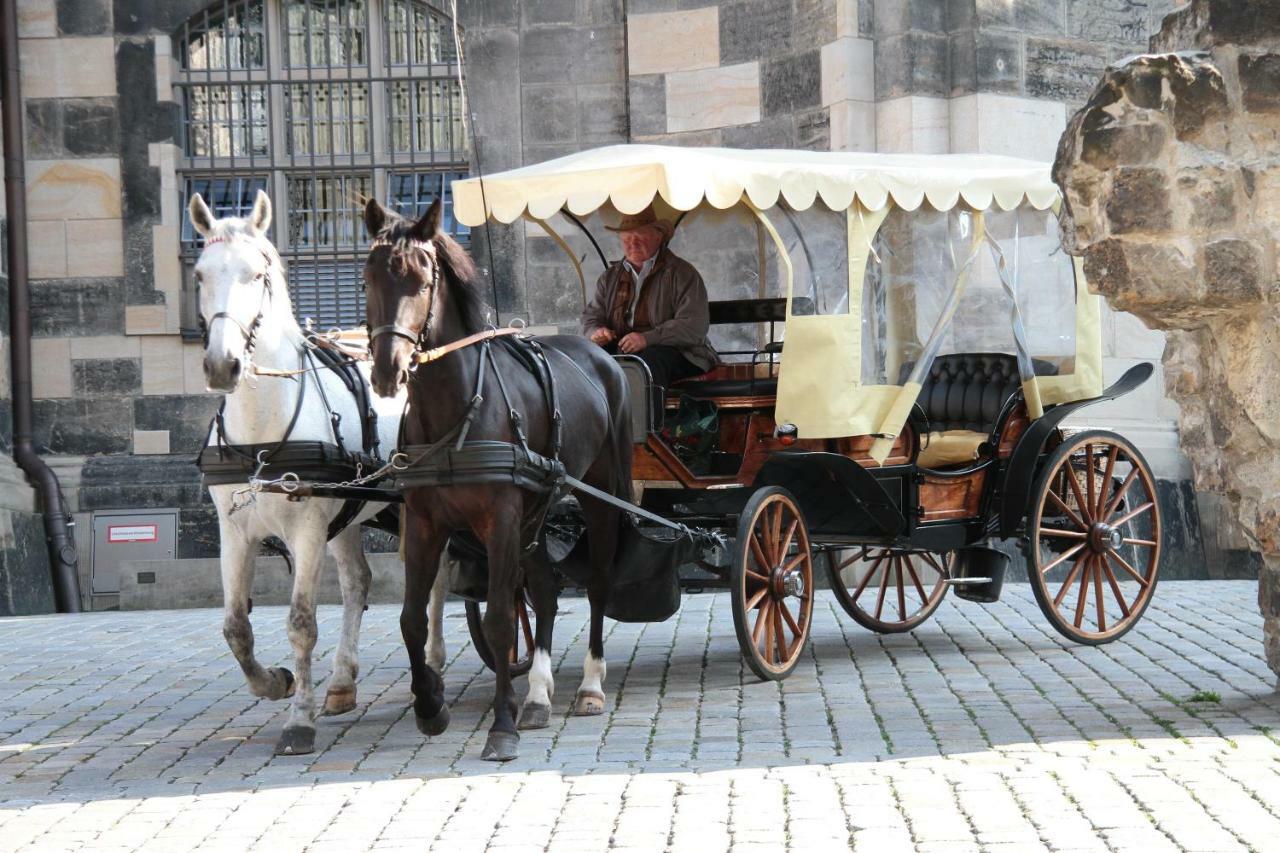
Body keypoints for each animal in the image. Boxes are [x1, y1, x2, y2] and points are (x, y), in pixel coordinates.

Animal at [189, 190, 450, 753]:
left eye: (257, 273)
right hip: (348, 514)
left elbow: (301, 623)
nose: (222, 365)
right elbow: (235, 627)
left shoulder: (306, 529)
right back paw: (342, 682)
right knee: (357, 582)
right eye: (199, 274)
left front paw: (298, 721)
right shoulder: (234, 531)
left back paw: (434, 663)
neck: (261, 433)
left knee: (437, 577)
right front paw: (276, 683)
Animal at [363, 197, 632, 758]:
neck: (459, 408)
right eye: (367, 277)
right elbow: (411, 618)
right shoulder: (425, 524)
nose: (387, 371)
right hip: (538, 509)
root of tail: (604, 358)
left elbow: (501, 620)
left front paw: (501, 726)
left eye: (422, 279)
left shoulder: (500, 517)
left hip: (600, 496)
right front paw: (430, 707)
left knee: (597, 583)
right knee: (545, 589)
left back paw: (590, 687)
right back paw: (539, 695)